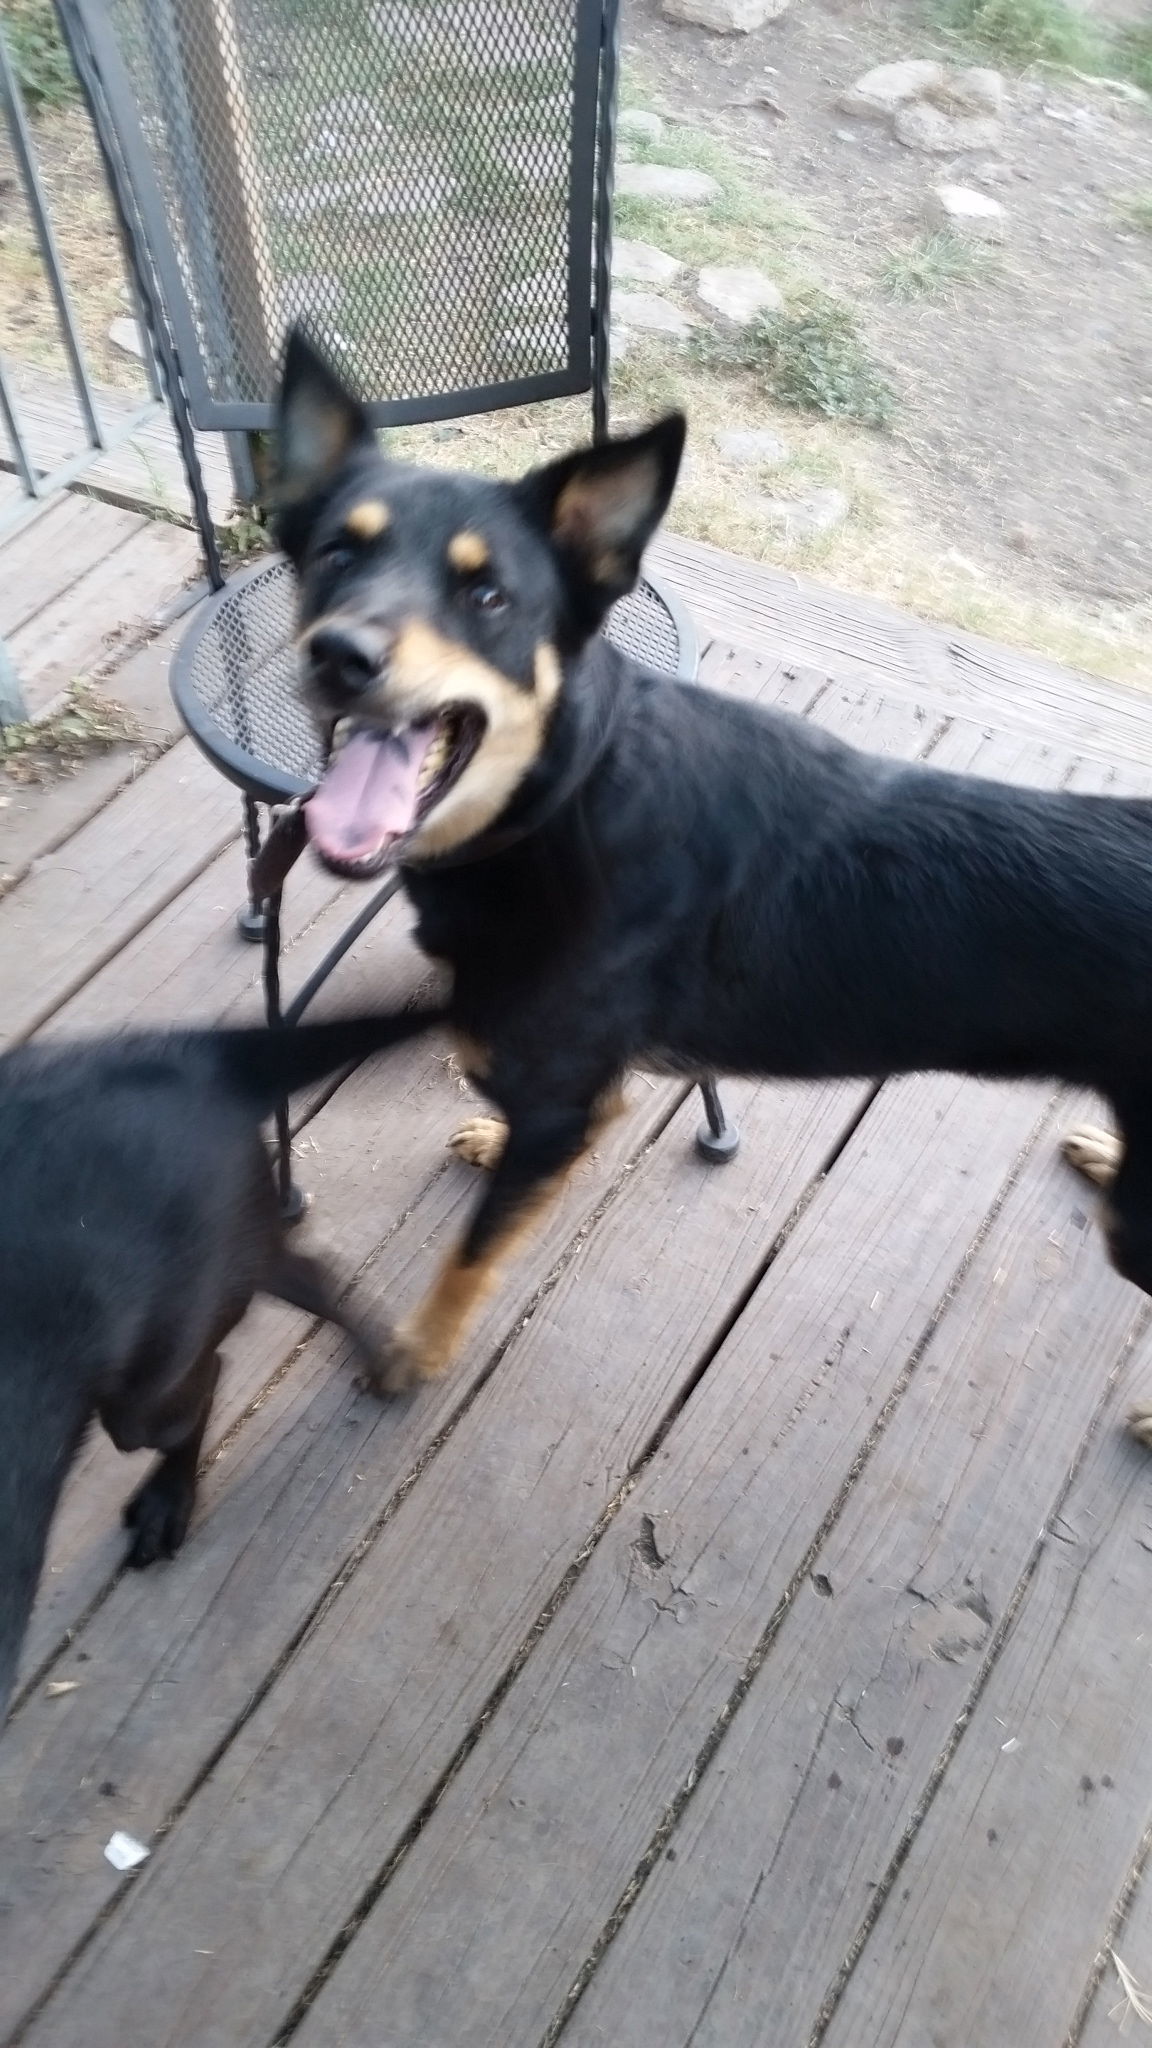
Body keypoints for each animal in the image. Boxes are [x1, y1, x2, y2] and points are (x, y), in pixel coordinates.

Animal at [0, 1007, 438, 1712]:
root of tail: (198, 1054)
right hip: (232, 1254)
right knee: (309, 1271)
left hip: (153, 1375)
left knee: (209, 1378)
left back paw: (170, 1500)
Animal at [272, 335, 1147, 1417]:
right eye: (334, 557)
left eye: (488, 595)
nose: (340, 655)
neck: (565, 799)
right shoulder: (577, 1098)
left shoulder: (562, 1105)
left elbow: (469, 1254)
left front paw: (416, 1353)